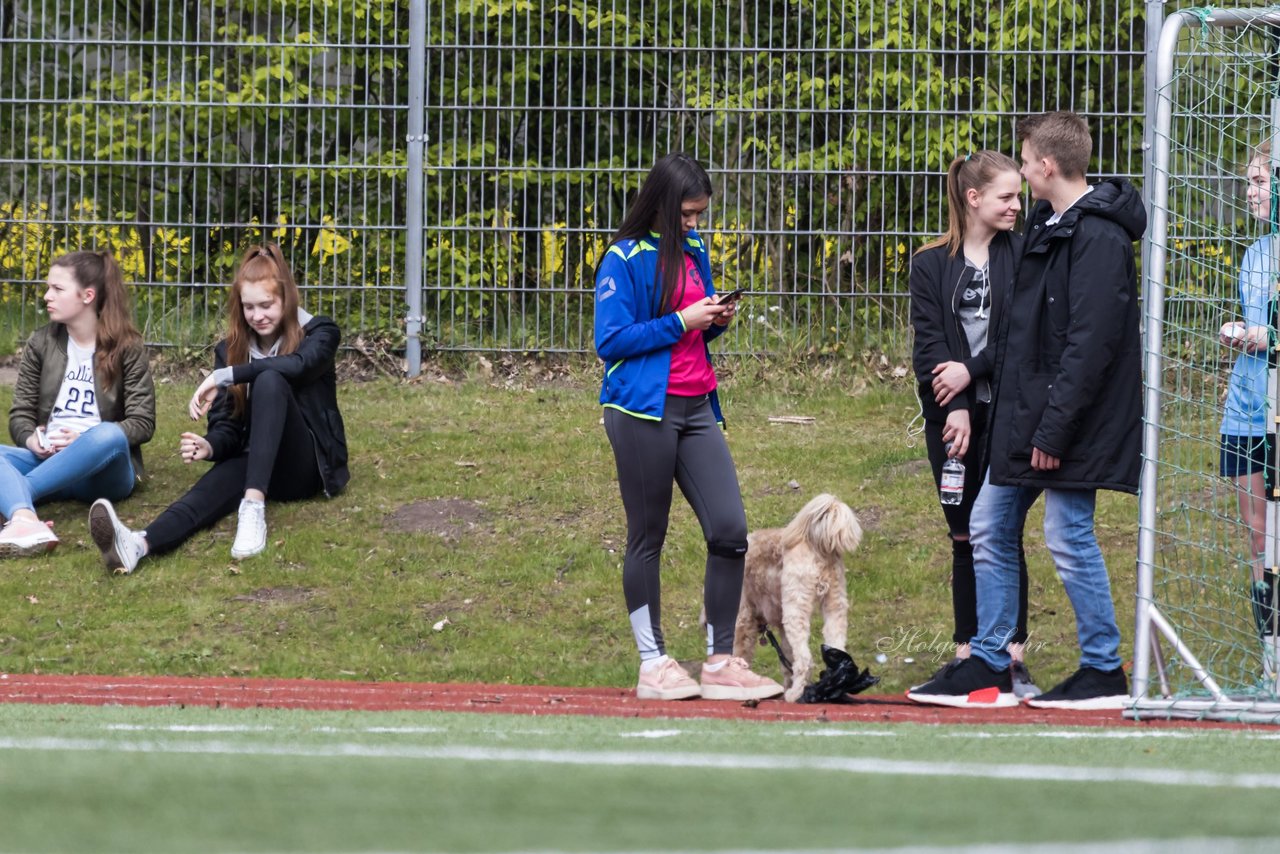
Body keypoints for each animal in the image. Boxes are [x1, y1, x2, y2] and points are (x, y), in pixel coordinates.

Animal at [737, 494, 865, 701]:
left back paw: (795, 694)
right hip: (835, 607)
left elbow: (739, 652)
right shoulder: (781, 630)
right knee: (836, 652)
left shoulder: (743, 618)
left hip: (795, 611)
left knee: (805, 660)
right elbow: (786, 662)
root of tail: (819, 548)